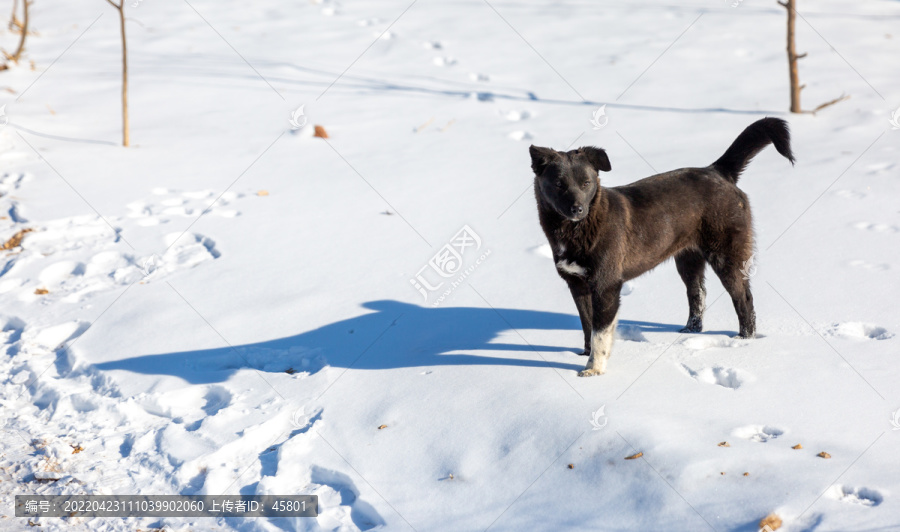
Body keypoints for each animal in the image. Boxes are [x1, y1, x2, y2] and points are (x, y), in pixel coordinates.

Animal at [532, 118, 792, 376]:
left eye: (586, 183)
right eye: (558, 184)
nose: (577, 209)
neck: (575, 230)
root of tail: (719, 171)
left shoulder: (606, 286)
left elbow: (599, 333)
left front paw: (594, 369)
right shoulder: (577, 285)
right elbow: (587, 326)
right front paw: (584, 356)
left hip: (727, 255)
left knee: (744, 299)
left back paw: (744, 340)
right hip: (688, 259)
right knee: (697, 293)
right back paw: (690, 331)